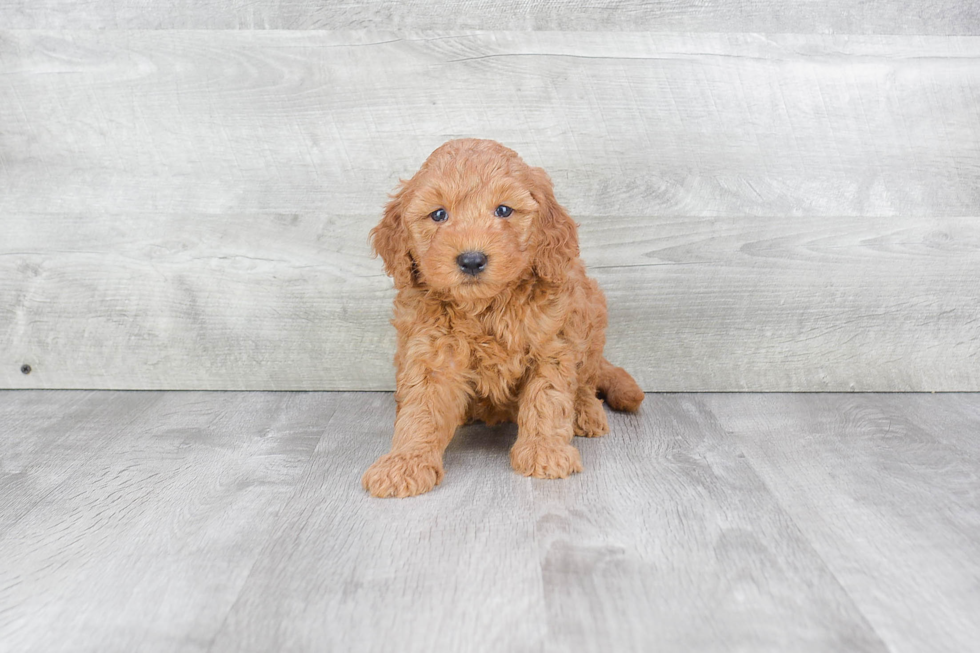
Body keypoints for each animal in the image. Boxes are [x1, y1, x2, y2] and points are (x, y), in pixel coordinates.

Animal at [360, 135, 644, 496]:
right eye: (438, 214)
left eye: (504, 210)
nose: (471, 260)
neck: (486, 306)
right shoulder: (431, 353)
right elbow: (421, 410)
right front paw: (405, 462)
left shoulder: (552, 344)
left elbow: (547, 400)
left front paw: (544, 451)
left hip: (591, 317)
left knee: (587, 380)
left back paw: (586, 412)